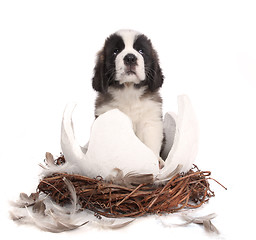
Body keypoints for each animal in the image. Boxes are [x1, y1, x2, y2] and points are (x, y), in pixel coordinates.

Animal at [93, 29, 165, 166]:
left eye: (141, 51)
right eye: (115, 51)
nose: (130, 58)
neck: (129, 91)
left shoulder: (150, 121)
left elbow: (150, 143)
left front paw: (154, 162)